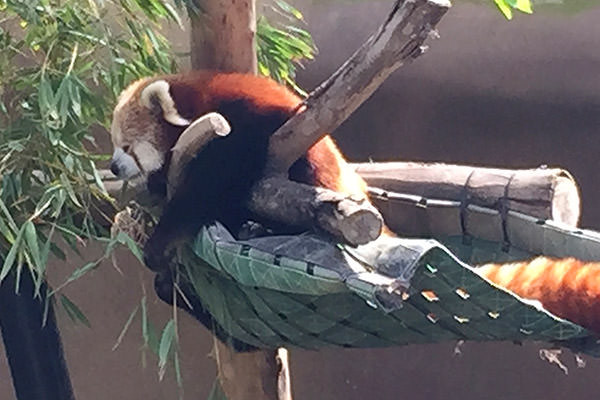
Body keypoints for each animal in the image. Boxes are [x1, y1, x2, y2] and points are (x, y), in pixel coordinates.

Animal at [110, 72, 600, 340]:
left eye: (127, 146)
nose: (113, 166)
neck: (202, 94)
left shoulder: (245, 125)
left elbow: (214, 182)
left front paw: (162, 236)